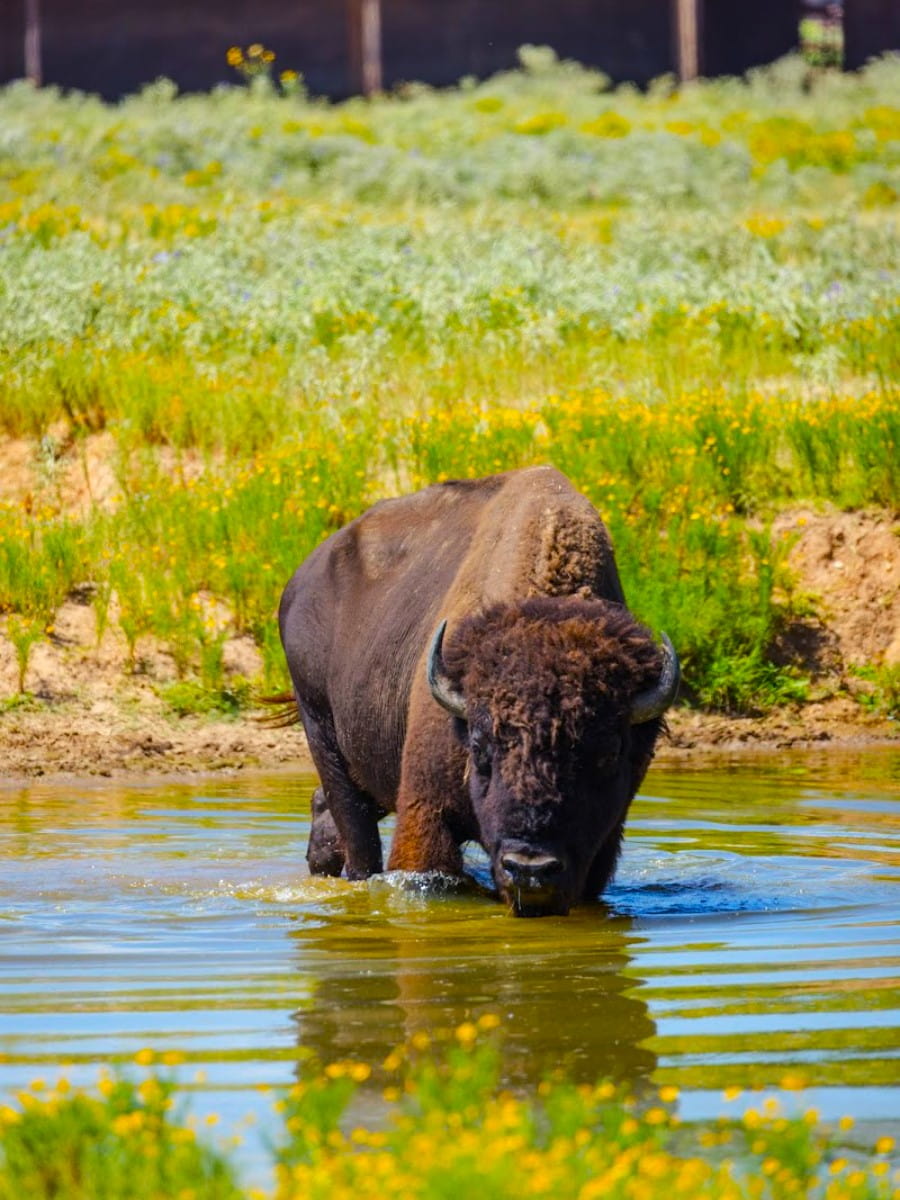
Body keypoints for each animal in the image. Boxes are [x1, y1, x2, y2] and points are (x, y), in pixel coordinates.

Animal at [278, 463, 681, 912]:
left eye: (609, 752)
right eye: (479, 744)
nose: (530, 867)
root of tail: (298, 584)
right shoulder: (426, 813)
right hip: (321, 731)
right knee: (357, 837)